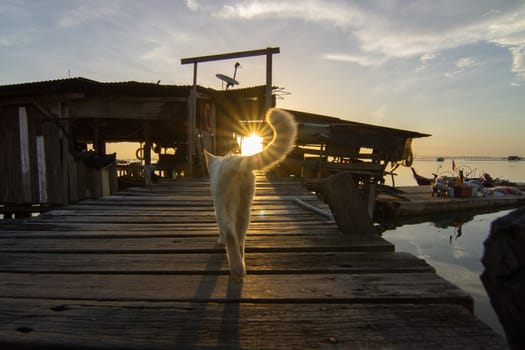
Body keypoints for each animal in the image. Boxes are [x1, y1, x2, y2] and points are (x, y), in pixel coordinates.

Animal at [203, 108, 296, 280]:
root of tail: (236, 161)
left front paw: (220, 240)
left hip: (224, 204)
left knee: (230, 234)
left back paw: (236, 268)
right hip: (245, 208)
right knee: (240, 238)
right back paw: (242, 265)